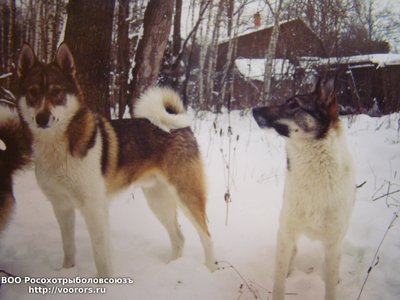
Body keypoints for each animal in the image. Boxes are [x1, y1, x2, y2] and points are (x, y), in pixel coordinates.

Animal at [16, 43, 216, 278]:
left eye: (56, 92)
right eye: (32, 93)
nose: (42, 118)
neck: (57, 147)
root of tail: (181, 126)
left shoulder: (94, 207)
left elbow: (101, 255)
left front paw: (104, 281)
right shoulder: (62, 207)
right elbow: (68, 247)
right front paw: (66, 272)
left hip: (186, 195)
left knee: (207, 236)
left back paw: (211, 270)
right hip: (158, 201)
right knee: (179, 238)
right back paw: (170, 268)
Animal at [253, 79, 356, 300]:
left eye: (293, 104)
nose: (254, 109)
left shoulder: (333, 244)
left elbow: (331, 290)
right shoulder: (286, 233)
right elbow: (279, 284)